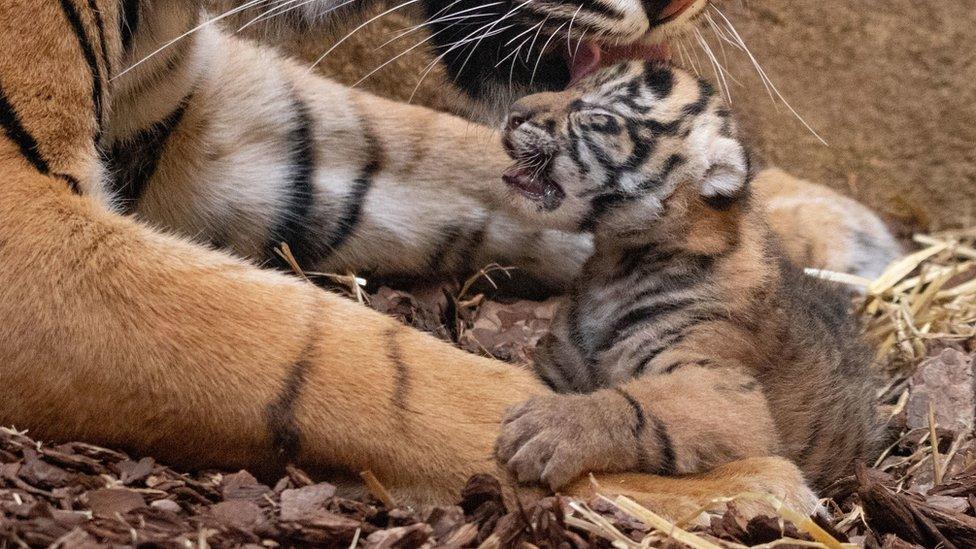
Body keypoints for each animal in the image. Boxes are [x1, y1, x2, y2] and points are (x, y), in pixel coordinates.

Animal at [0, 0, 896, 520]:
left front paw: (815, 226)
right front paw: (750, 483)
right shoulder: (25, 226)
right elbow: (351, 361)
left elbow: (404, 140)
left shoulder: (186, 116)